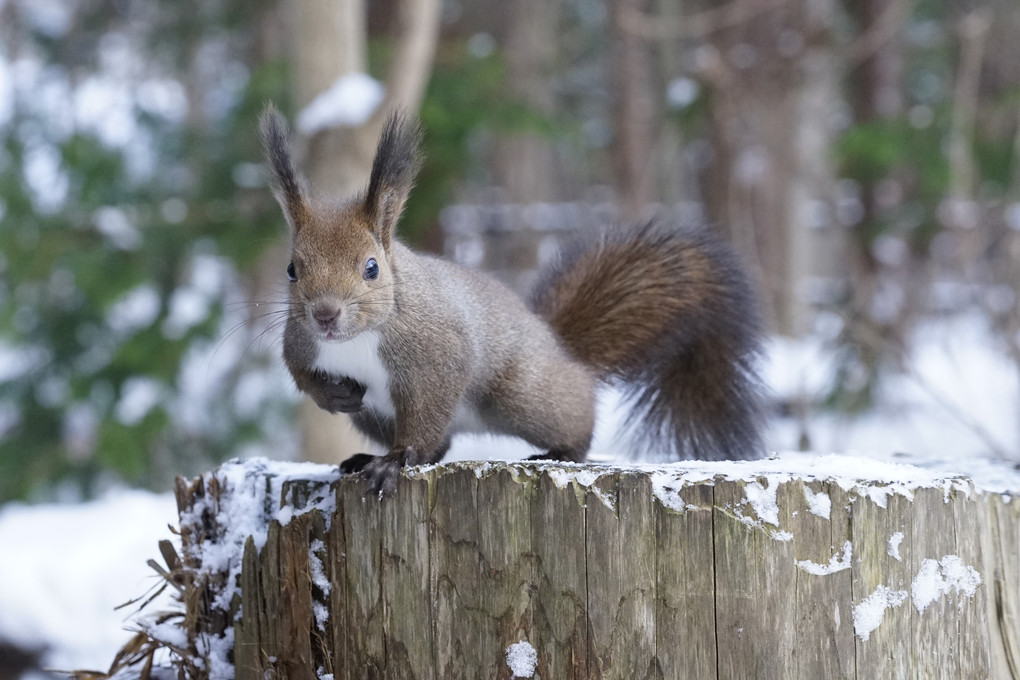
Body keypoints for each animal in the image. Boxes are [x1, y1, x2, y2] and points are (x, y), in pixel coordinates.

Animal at [259, 106, 762, 495]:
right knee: (442, 445)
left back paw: (561, 451)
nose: (325, 315)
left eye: (371, 268)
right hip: (376, 417)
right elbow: (300, 371)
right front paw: (334, 394)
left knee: (570, 410)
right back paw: (364, 457)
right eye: (291, 269)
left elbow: (427, 410)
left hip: (522, 394)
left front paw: (397, 460)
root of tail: (556, 345)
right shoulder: (299, 340)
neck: (358, 339)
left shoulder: (436, 353)